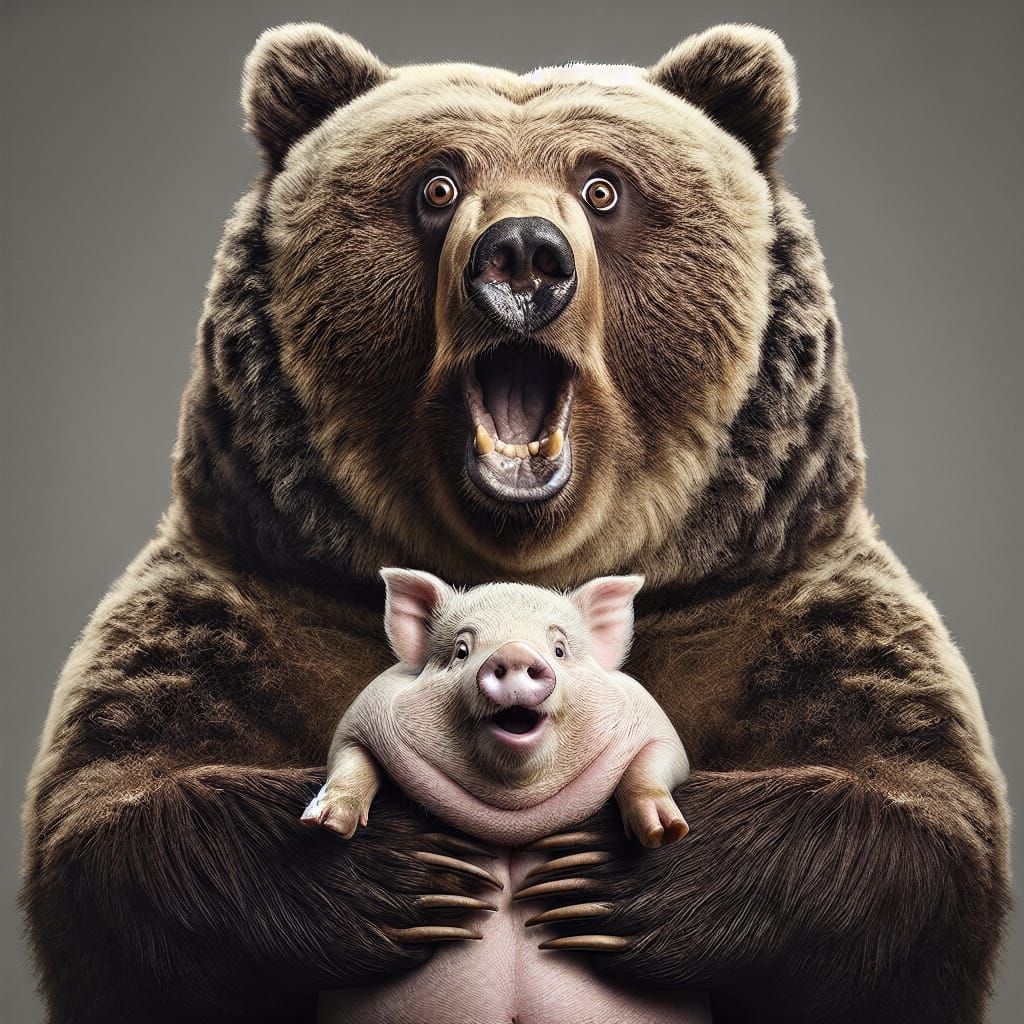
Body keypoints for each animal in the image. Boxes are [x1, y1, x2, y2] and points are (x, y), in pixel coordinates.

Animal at [303, 570, 708, 1024]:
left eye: (560, 649)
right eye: (462, 650)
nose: (514, 652)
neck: (513, 815)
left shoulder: (654, 724)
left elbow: (653, 763)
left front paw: (663, 833)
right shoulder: (363, 717)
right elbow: (352, 758)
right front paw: (326, 823)